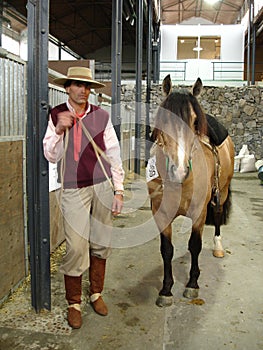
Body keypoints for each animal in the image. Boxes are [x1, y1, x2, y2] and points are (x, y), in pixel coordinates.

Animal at [146, 76, 235, 306]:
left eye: (195, 122)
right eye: (164, 120)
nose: (179, 171)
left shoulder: (199, 213)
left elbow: (195, 245)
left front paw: (192, 284)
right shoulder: (161, 213)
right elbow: (166, 250)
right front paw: (166, 289)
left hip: (221, 192)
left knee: (218, 215)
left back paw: (218, 247)